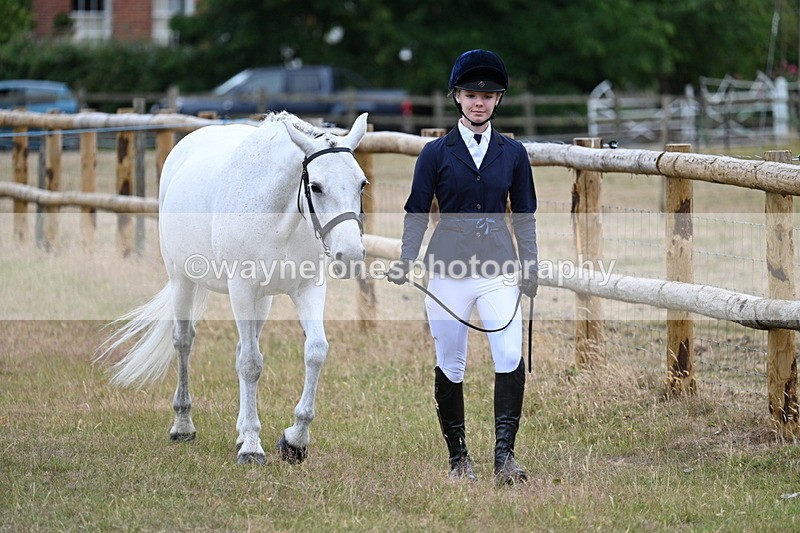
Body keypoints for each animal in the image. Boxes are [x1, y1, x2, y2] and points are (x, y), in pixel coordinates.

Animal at [98, 111, 369, 464]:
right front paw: (253, 448)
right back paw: (183, 426)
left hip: (262, 302)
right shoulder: (241, 289)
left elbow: (315, 352)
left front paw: (294, 440)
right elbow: (251, 364)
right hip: (182, 281)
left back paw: (240, 432)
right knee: (184, 342)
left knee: (243, 346)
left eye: (362, 183)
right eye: (315, 186)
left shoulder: (308, 289)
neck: (278, 217)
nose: (350, 254)